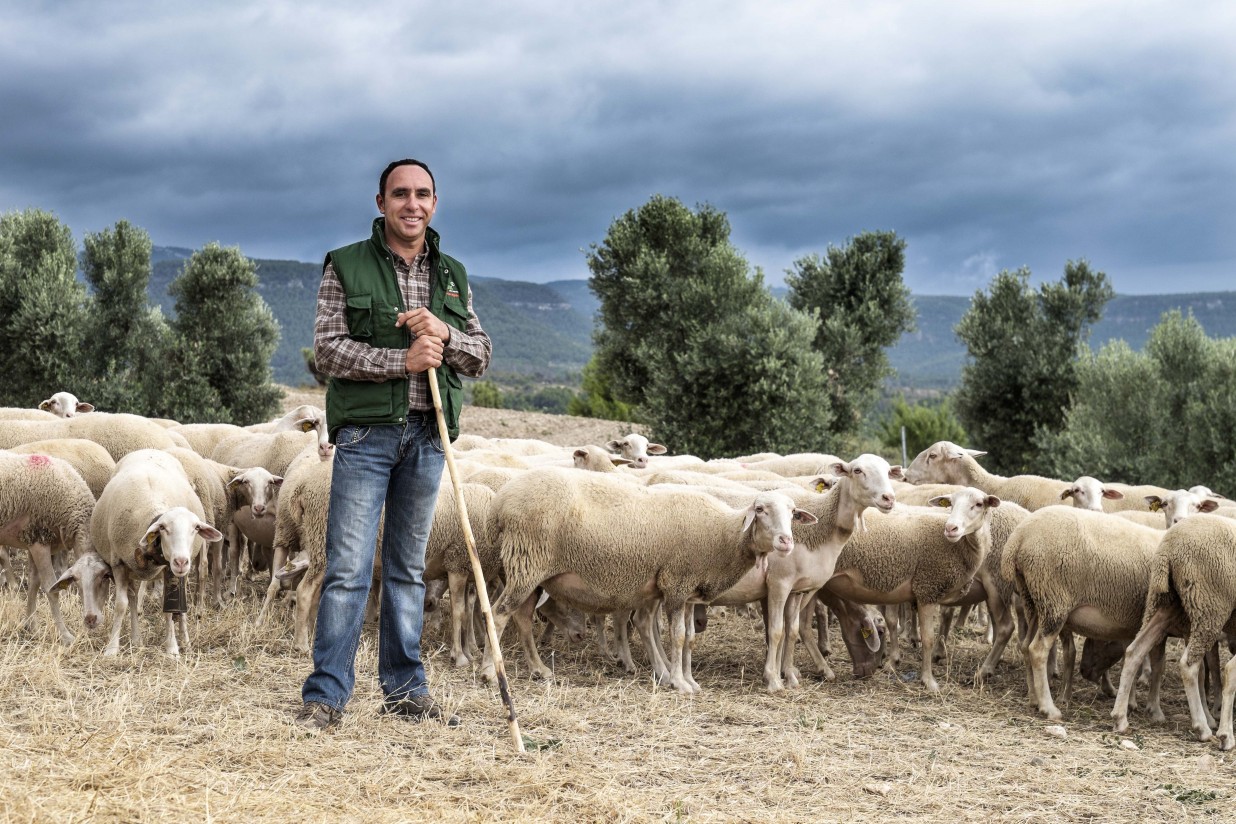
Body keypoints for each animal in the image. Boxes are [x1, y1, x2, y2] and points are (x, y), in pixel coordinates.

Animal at [0, 452, 96, 642]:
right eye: (79, 582)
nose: (92, 621)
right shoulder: (40, 540)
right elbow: (51, 589)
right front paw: (65, 635)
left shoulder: (32, 542)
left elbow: (34, 583)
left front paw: (31, 625)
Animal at [91, 447, 222, 652]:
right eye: (163, 528)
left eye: (195, 528)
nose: (181, 561)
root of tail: (149, 449)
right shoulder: (118, 564)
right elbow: (121, 605)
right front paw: (112, 649)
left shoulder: (169, 571)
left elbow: (169, 608)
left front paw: (172, 648)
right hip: (131, 569)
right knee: (132, 598)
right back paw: (136, 639)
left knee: (180, 606)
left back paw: (185, 641)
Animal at [482, 466, 810, 691]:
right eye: (760, 509)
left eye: (793, 512)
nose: (786, 541)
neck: (722, 535)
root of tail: (500, 502)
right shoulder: (677, 583)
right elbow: (677, 636)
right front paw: (680, 683)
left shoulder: (687, 590)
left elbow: (688, 638)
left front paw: (686, 679)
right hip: (527, 562)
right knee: (498, 614)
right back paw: (489, 672)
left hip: (530, 572)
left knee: (521, 618)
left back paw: (539, 669)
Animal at [998, 506, 1161, 716]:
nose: (1084, 671)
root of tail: (1019, 537)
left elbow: (1130, 657)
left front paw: (1129, 702)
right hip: (1054, 600)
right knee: (1038, 650)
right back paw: (1049, 708)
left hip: (1033, 599)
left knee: (1025, 646)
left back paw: (1034, 699)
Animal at [1112, 516, 1236, 741]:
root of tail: (1168, 548)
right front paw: (1225, 734)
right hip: (1210, 606)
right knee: (1189, 665)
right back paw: (1203, 727)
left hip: (1164, 603)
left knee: (1134, 651)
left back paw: (1120, 718)